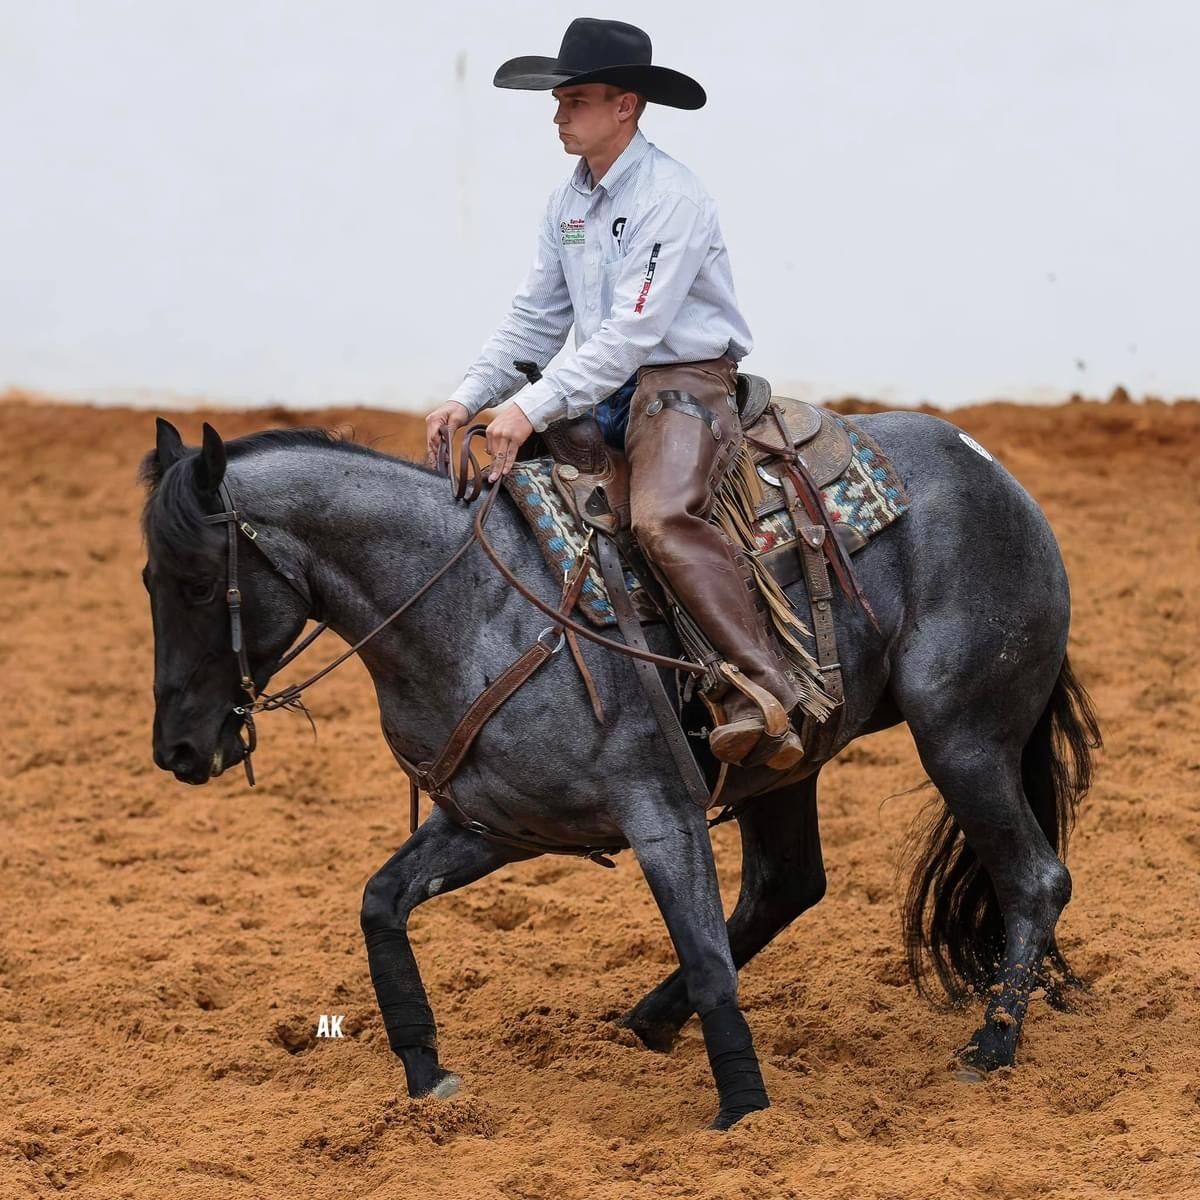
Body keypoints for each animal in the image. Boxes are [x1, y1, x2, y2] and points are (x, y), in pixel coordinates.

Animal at [138, 410, 1100, 1131]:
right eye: (149, 579)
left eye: (198, 584)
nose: (177, 750)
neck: (475, 608)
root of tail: (993, 472)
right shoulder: (494, 824)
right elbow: (381, 902)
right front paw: (423, 1073)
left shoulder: (660, 810)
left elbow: (706, 953)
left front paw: (745, 1113)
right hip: (787, 769)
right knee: (787, 884)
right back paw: (647, 1021)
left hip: (961, 734)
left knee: (1034, 878)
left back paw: (989, 1050)